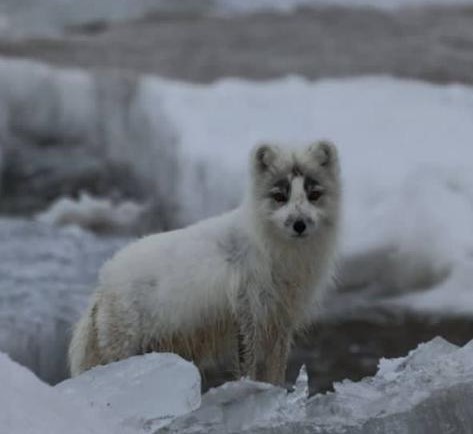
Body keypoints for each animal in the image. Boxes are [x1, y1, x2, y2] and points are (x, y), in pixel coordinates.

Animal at [69, 141, 342, 386]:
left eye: (314, 195)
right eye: (280, 196)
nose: (299, 224)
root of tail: (102, 287)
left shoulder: (281, 320)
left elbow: (275, 371)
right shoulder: (246, 312)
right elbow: (249, 366)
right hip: (123, 347)